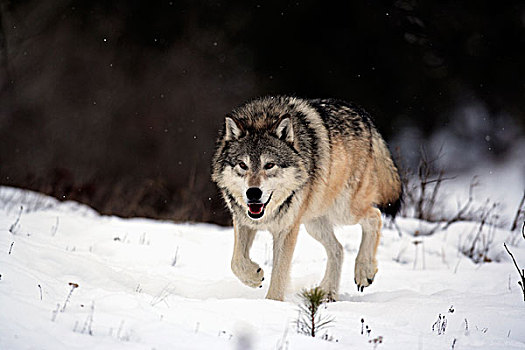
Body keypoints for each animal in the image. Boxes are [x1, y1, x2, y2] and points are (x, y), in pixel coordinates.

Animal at [211, 95, 400, 300]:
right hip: (314, 223)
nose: (253, 193)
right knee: (338, 249)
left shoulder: (287, 229)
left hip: (344, 211)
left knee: (375, 216)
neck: (263, 116)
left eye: (269, 165)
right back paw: (327, 292)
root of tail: (363, 115)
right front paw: (254, 276)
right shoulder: (243, 220)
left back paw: (364, 271)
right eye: (242, 165)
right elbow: (236, 262)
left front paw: (273, 303)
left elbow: (279, 274)